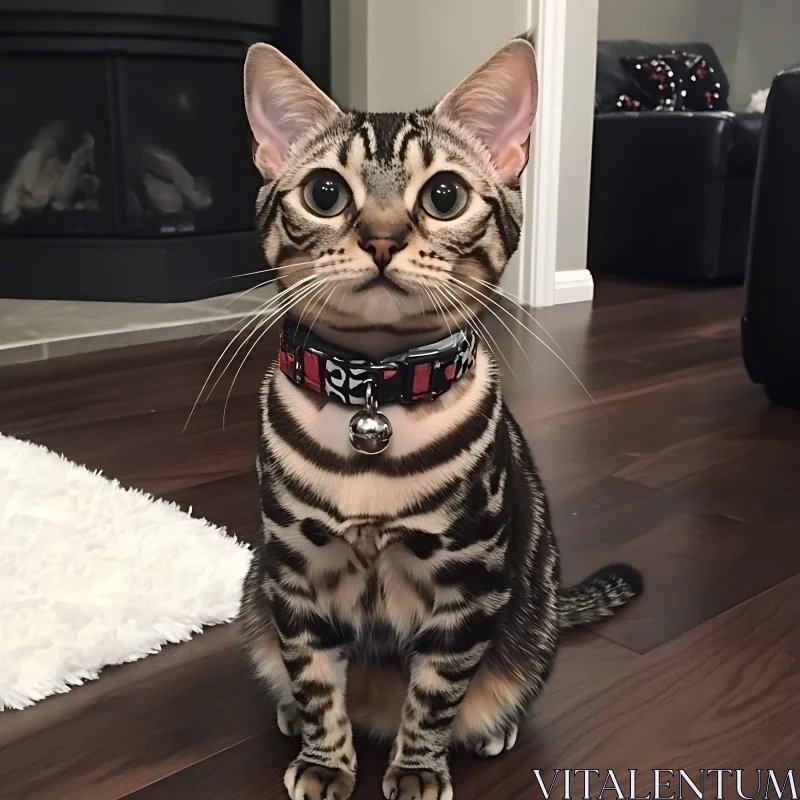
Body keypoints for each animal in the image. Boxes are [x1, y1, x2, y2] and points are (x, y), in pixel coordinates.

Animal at [239, 37, 644, 800]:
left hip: (530, 629)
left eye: (444, 196)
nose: (381, 239)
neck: (374, 393)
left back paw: (487, 730)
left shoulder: (468, 586)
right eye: (325, 194)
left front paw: (419, 769)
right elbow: (314, 681)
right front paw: (324, 759)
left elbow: (434, 694)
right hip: (254, 593)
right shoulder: (295, 575)